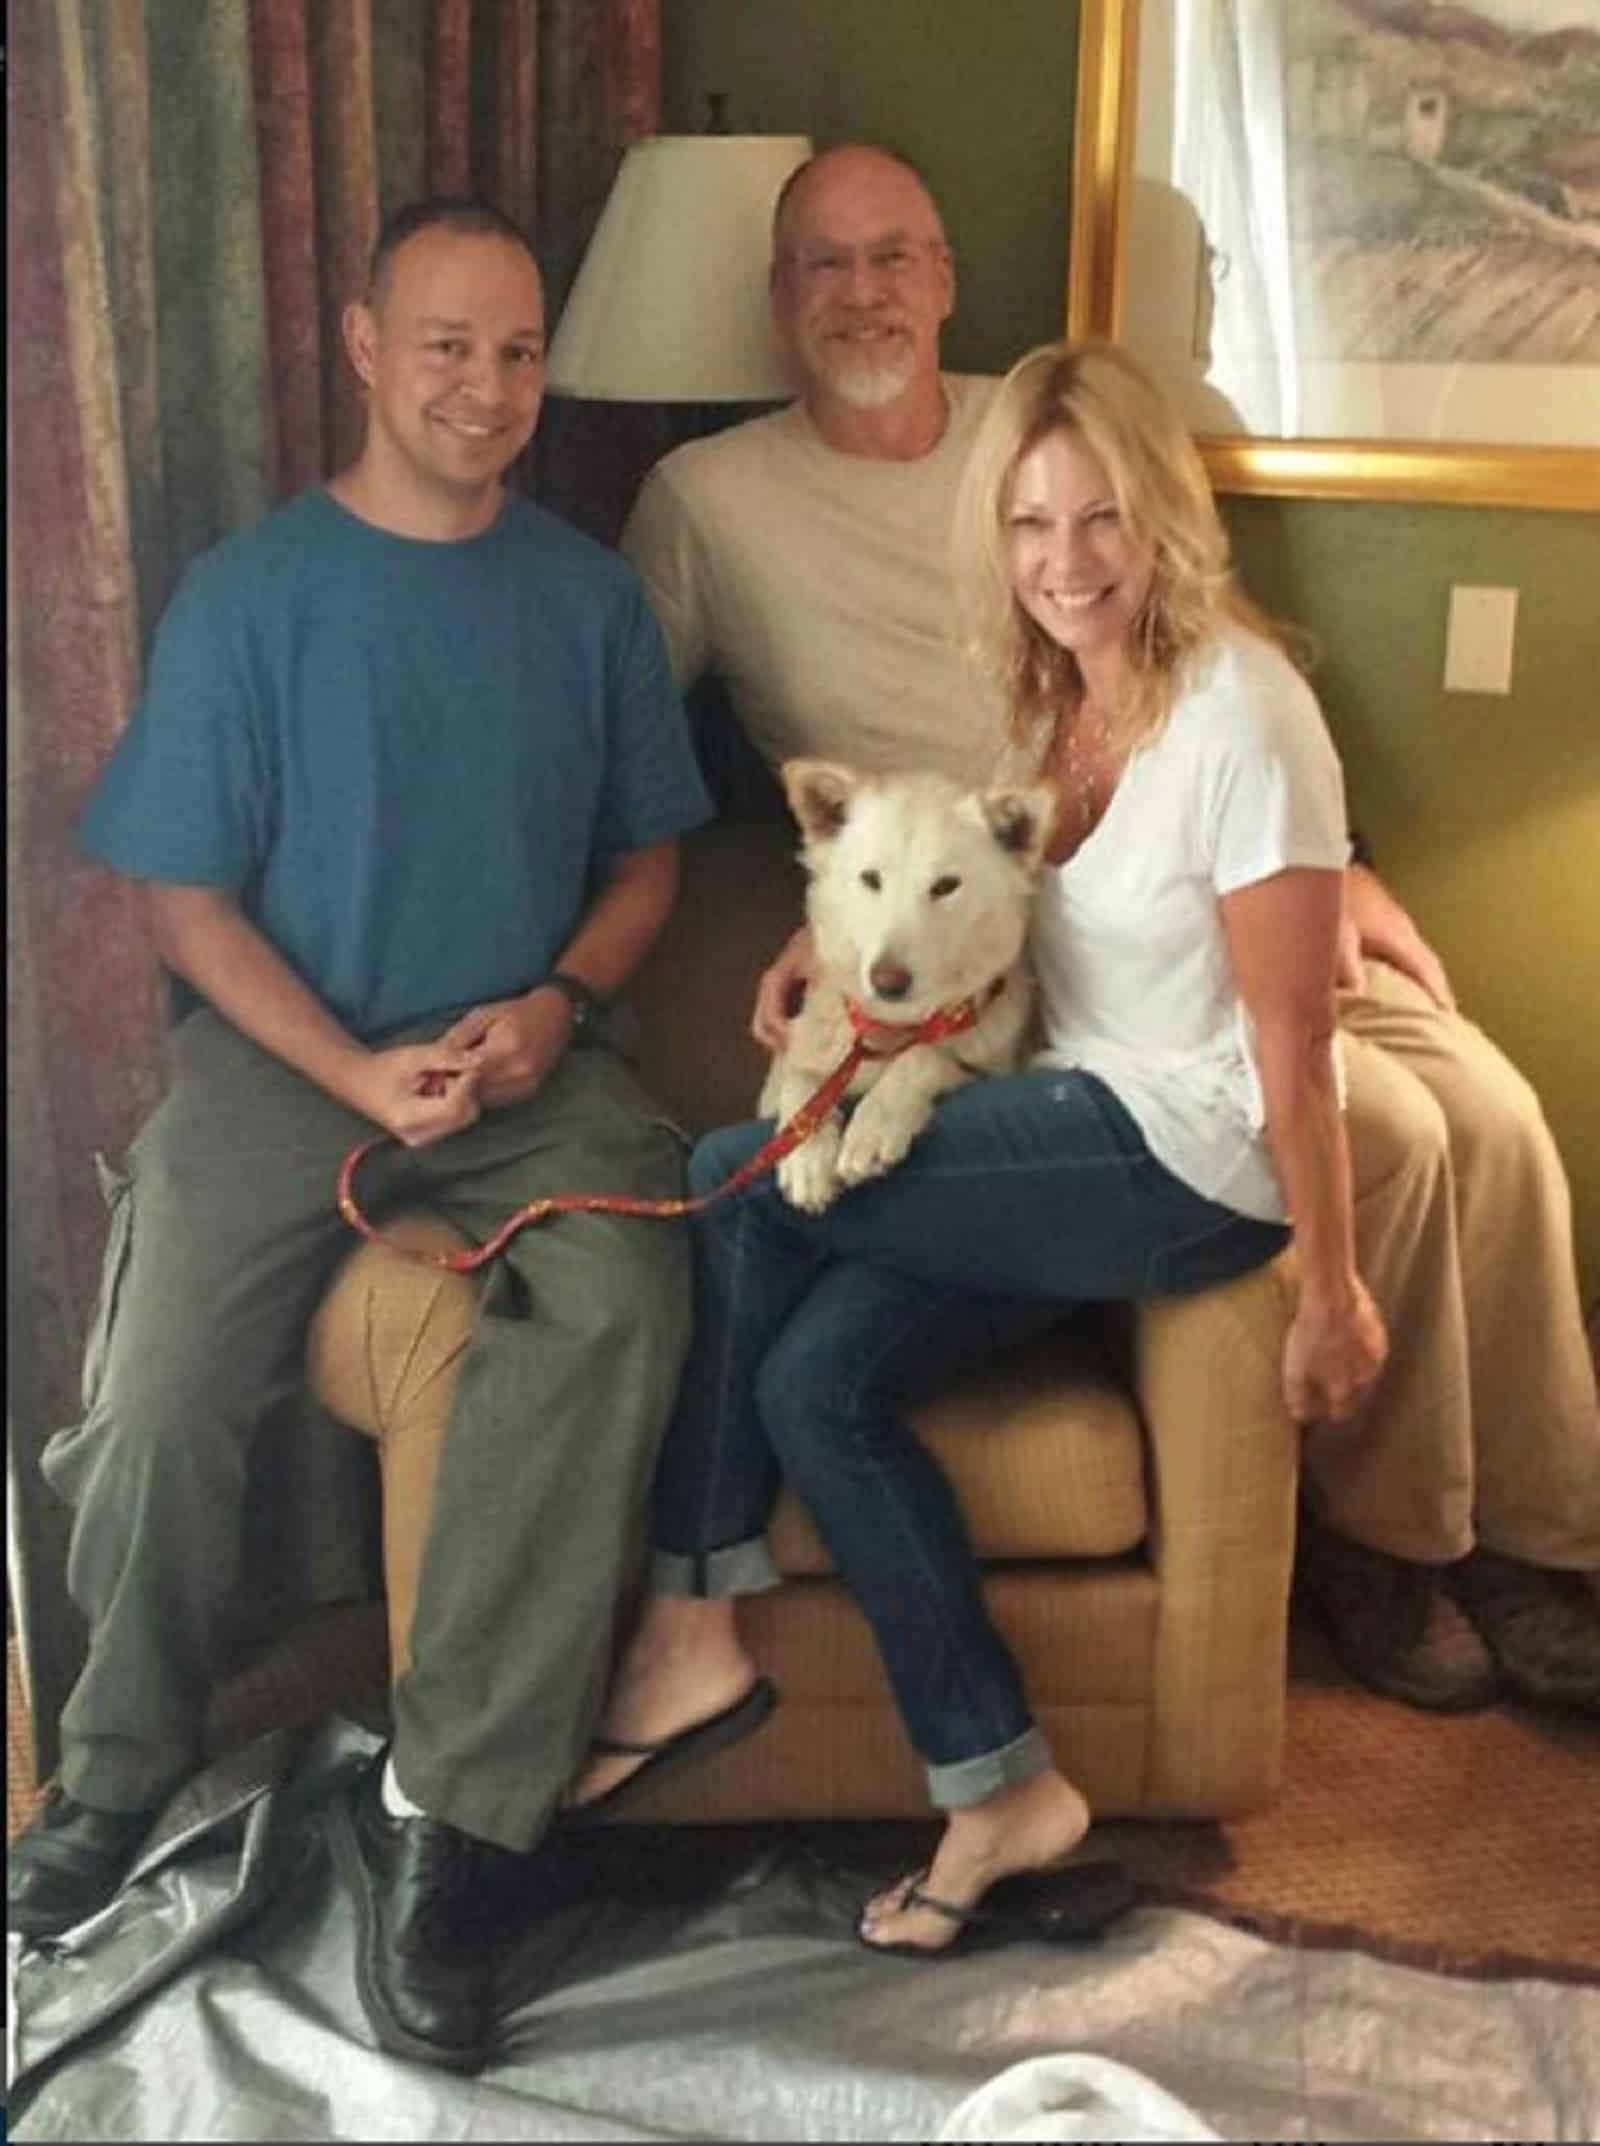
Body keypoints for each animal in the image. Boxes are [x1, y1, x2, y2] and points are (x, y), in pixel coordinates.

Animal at [763, 763, 1059, 1218]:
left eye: (946, 886)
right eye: (870, 879)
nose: (887, 981)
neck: (891, 1029)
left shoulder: (988, 1071)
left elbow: (922, 1057)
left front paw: (872, 1126)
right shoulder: (802, 1053)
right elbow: (800, 1081)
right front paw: (806, 1156)